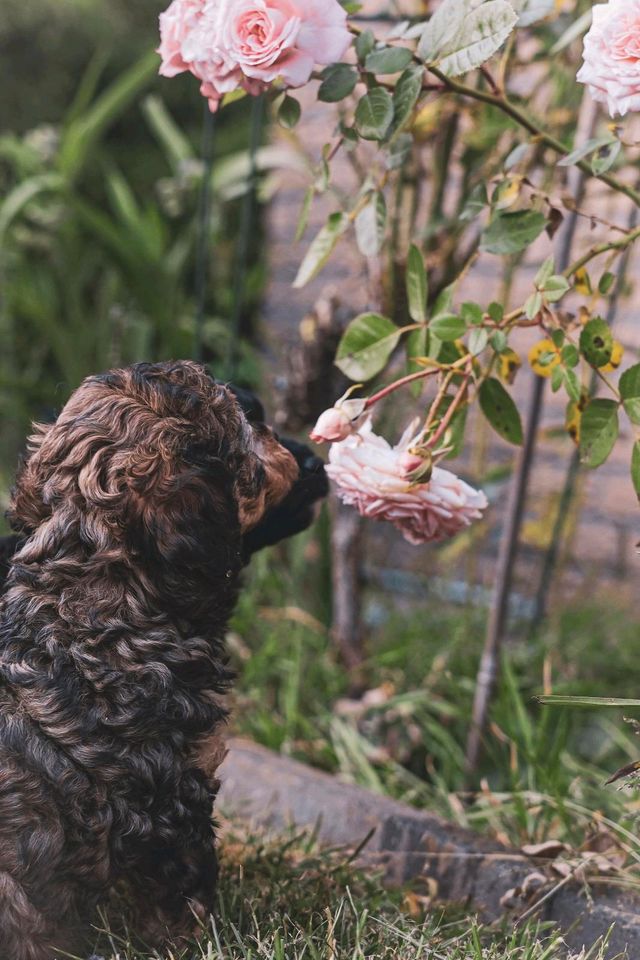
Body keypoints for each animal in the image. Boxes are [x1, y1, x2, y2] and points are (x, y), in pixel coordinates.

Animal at [0, 362, 328, 960]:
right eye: (256, 426)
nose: (318, 460)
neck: (95, 586)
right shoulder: (175, 795)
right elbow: (185, 891)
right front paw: (207, 939)